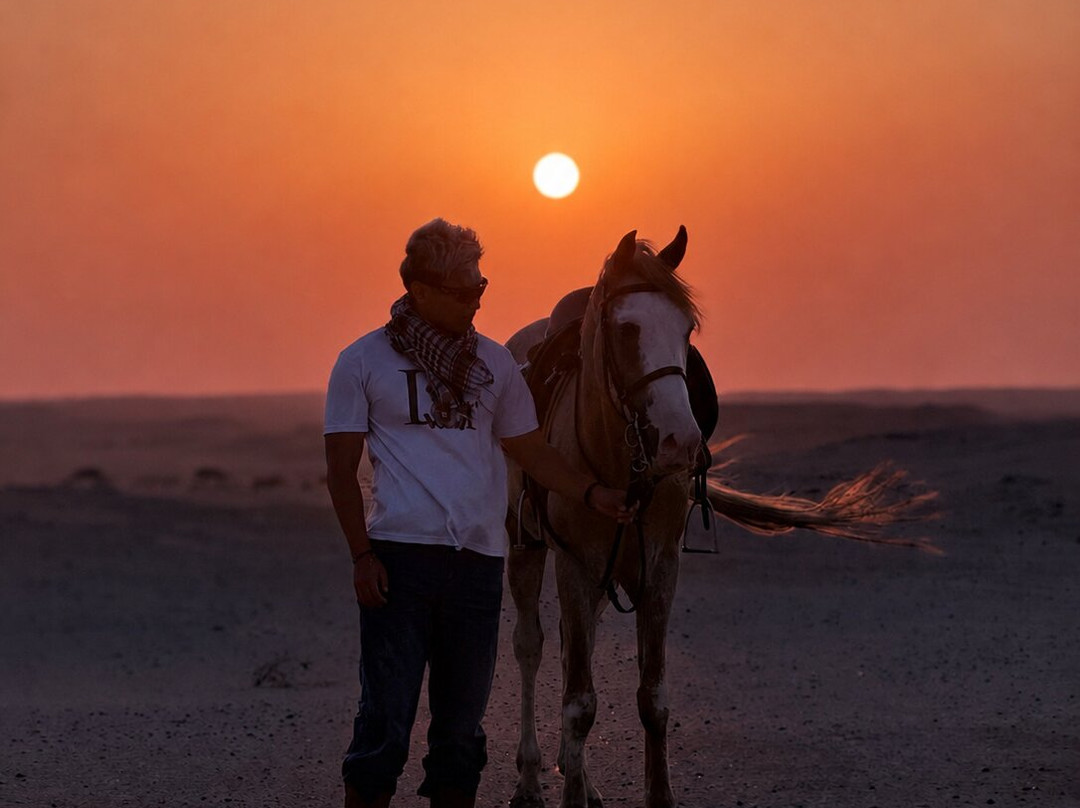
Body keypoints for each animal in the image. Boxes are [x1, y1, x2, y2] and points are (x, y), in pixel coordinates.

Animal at [504, 226, 936, 808]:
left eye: (686, 329)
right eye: (626, 328)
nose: (679, 442)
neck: (617, 463)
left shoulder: (660, 568)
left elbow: (652, 695)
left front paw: (655, 794)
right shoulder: (576, 565)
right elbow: (579, 702)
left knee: (576, 647)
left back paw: (583, 780)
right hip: (524, 548)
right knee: (531, 647)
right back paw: (529, 779)